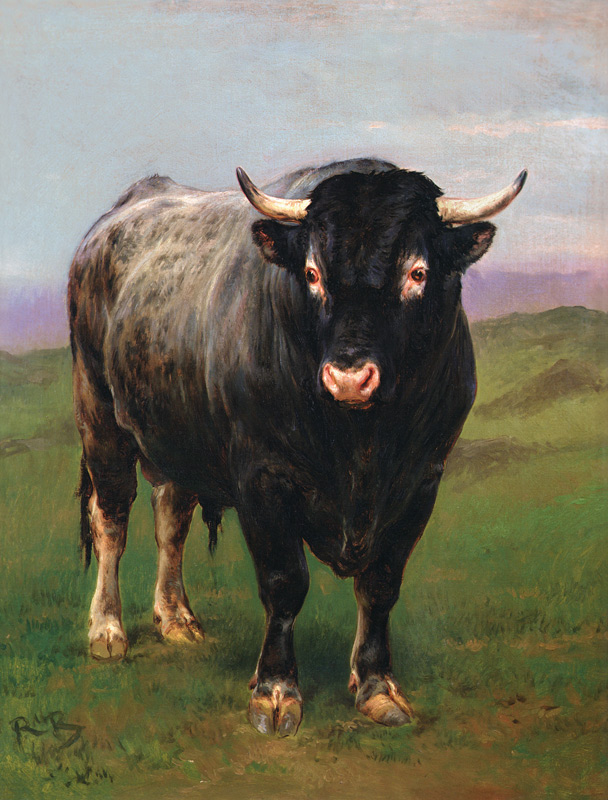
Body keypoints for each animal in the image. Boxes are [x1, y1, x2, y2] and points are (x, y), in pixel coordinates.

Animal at [68, 157, 526, 736]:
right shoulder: (263, 479)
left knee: (170, 516)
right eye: (311, 273)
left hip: (178, 434)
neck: (362, 446)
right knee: (111, 517)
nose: (348, 378)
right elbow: (284, 583)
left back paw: (176, 620)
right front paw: (275, 691)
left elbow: (381, 584)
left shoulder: (422, 480)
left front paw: (376, 686)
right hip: (99, 415)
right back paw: (107, 630)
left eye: (418, 273)